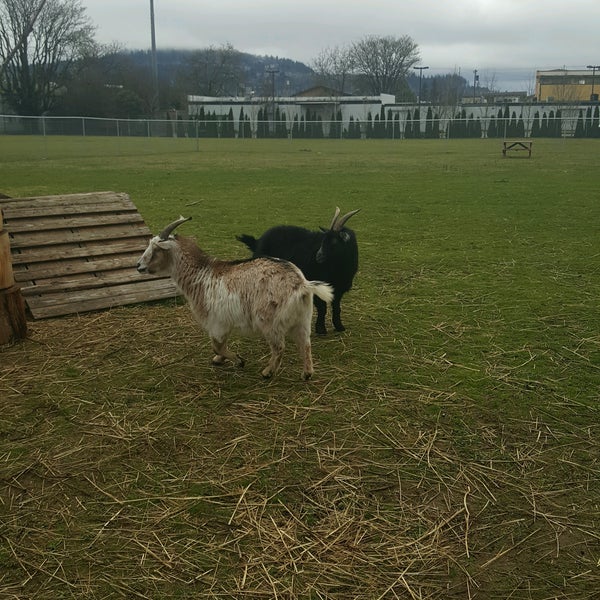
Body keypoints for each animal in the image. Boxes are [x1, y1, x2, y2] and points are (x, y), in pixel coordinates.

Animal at [136, 217, 332, 380]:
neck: (201, 275)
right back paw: (307, 373)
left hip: (269, 321)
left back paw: (267, 372)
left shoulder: (216, 321)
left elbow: (216, 344)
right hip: (303, 319)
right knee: (305, 344)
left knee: (279, 347)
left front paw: (238, 360)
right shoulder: (224, 321)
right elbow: (220, 344)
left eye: (156, 249)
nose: (138, 266)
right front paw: (220, 359)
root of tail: (301, 285)